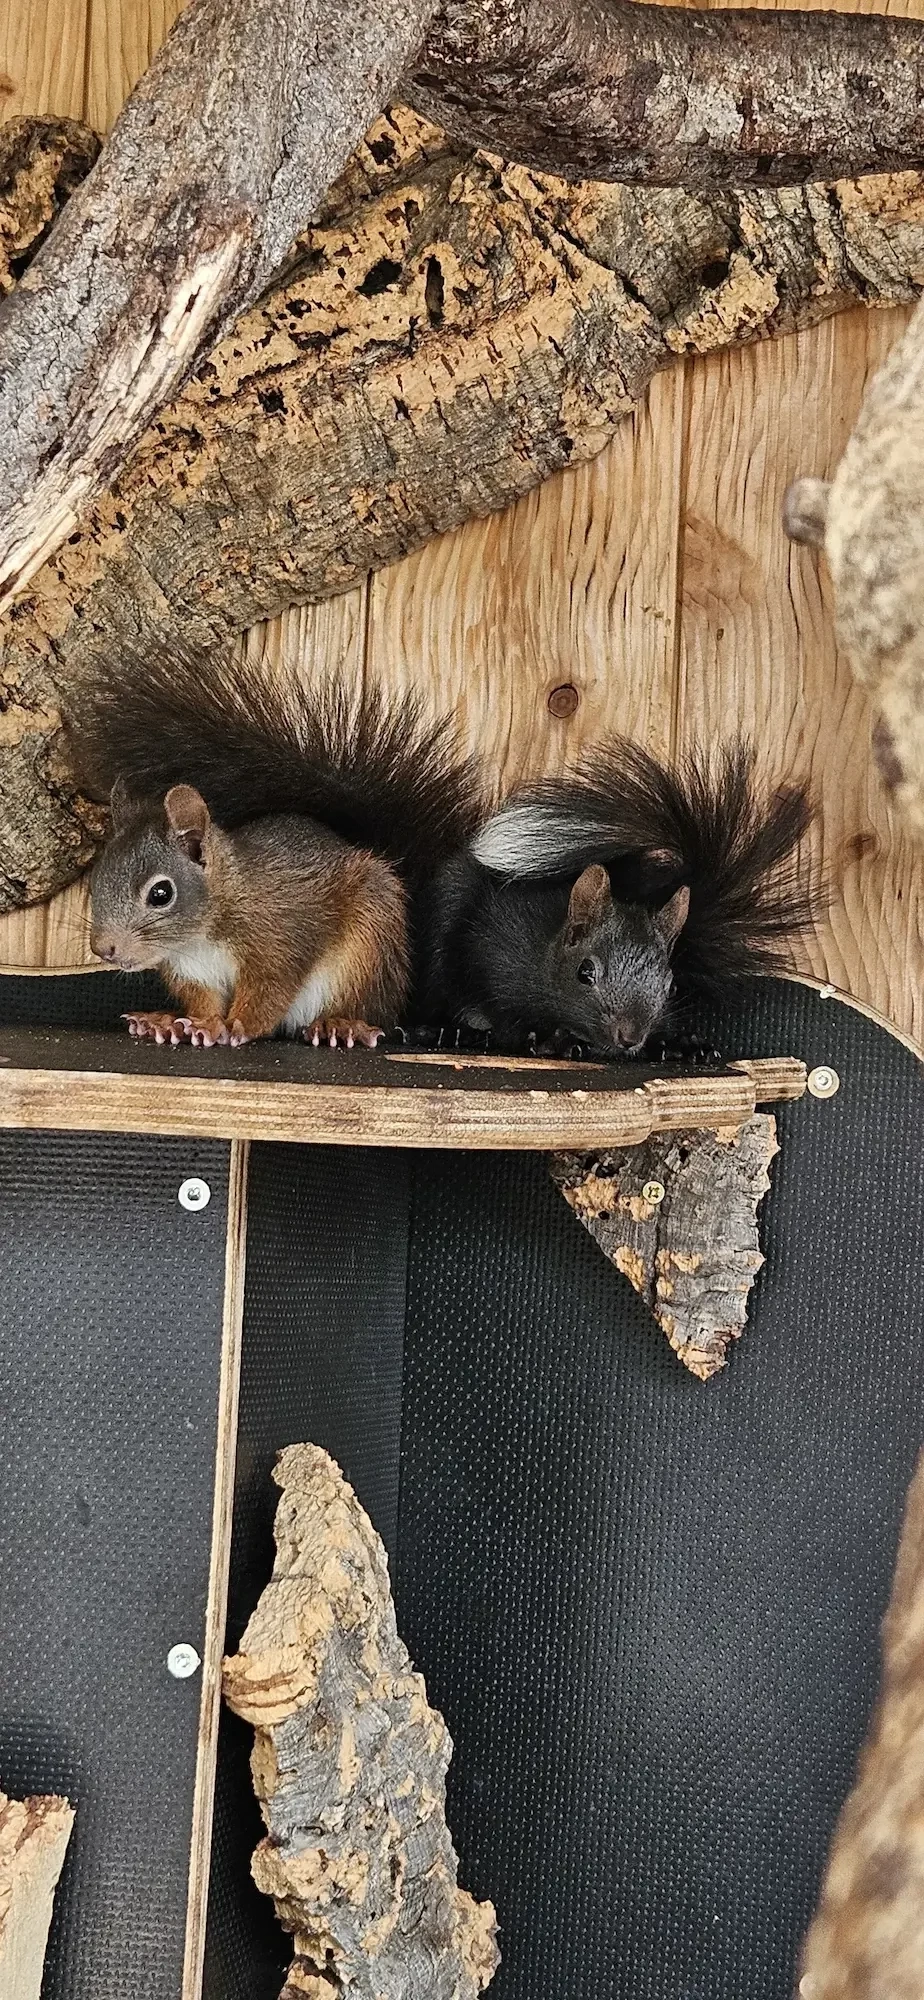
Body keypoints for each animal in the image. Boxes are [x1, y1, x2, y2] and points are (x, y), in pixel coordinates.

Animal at [66, 642, 483, 1049]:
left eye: (161, 893)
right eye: (96, 882)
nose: (104, 949)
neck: (201, 934)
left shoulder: (278, 944)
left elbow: (268, 995)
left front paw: (236, 1026)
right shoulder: (193, 973)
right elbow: (204, 1004)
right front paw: (194, 1025)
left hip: (367, 946)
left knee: (367, 1008)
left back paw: (340, 1025)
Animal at [423, 737, 819, 1055]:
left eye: (671, 985)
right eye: (585, 972)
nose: (630, 1038)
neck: (547, 949)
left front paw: (682, 1044)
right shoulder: (496, 953)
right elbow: (505, 1013)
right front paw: (540, 1038)